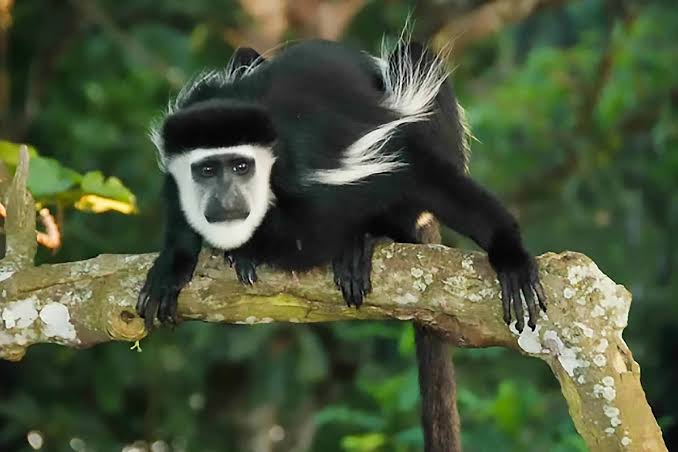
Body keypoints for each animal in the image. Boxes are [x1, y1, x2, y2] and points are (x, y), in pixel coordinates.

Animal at [137, 37, 546, 452]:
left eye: (240, 167)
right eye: (206, 171)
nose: (226, 200)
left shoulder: (312, 176)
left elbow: (414, 173)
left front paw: (510, 255)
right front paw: (176, 263)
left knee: (415, 69)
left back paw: (367, 241)